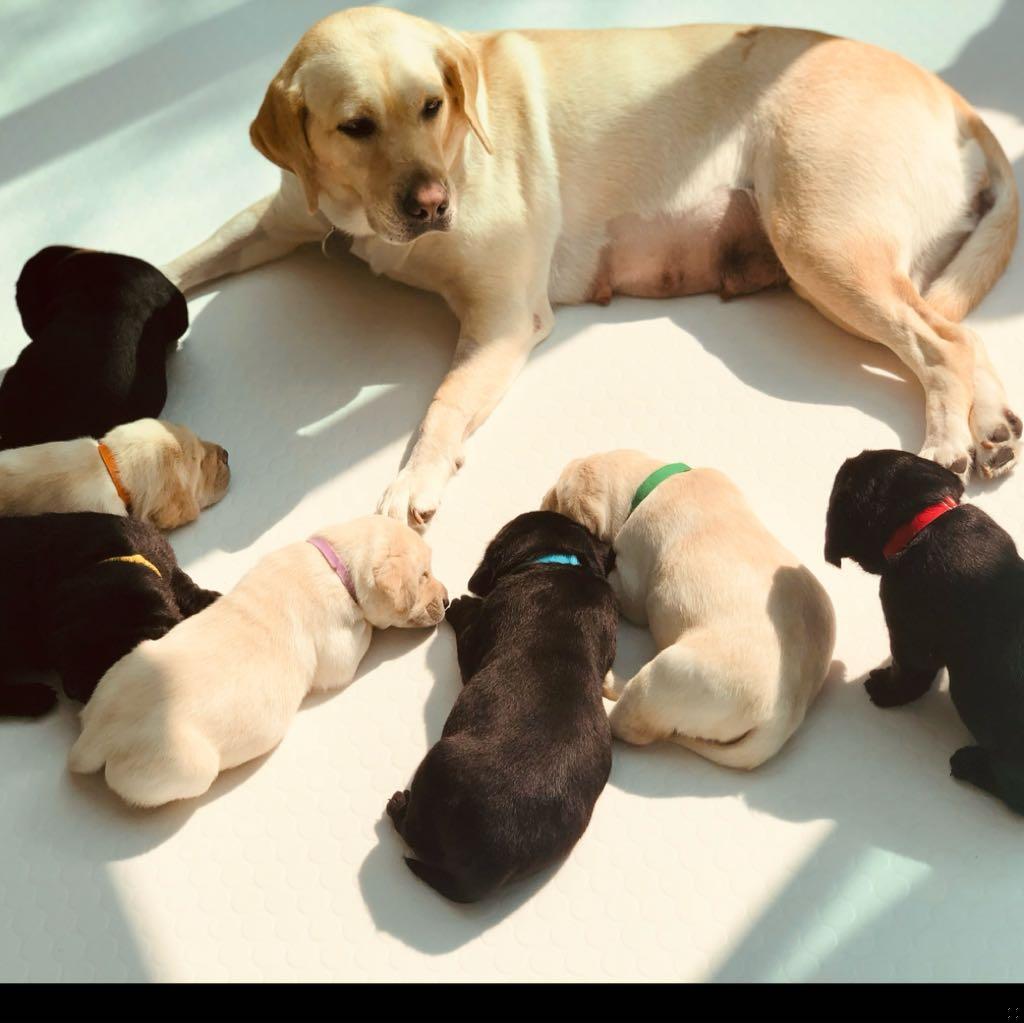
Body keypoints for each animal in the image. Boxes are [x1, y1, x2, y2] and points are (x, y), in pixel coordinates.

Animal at [69, 516, 448, 808]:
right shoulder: (339, 653)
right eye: (424, 576)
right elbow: (361, 635)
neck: (334, 564)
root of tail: (95, 735)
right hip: (186, 769)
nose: (446, 601)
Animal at [165, 7, 1020, 530]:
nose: (433, 204)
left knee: (941, 342)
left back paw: (947, 438)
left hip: (821, 246)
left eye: (432, 106)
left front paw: (414, 478)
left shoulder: (504, 320)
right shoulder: (274, 219)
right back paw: (990, 428)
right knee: (960, 335)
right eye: (355, 126)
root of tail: (952, 98)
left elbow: (442, 404)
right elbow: (178, 263)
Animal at [387, 510, 617, 902]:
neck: (560, 561)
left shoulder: (474, 643)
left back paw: (398, 805)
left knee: (413, 832)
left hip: (438, 762)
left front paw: (461, 603)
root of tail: (481, 875)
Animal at [543, 450, 835, 768]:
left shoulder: (633, 579)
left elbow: (625, 592)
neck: (650, 482)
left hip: (667, 676)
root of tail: (784, 719)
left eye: (557, 498)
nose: (541, 503)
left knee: (628, 725)